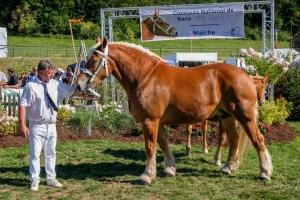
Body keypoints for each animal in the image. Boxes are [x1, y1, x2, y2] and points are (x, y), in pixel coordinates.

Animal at [76, 37, 274, 184]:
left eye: (94, 60)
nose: (78, 85)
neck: (144, 77)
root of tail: (245, 75)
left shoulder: (149, 120)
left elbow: (150, 147)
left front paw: (147, 176)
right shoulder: (158, 122)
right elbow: (163, 144)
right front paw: (169, 168)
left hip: (244, 116)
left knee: (258, 139)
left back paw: (264, 172)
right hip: (227, 116)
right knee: (234, 139)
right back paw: (228, 167)